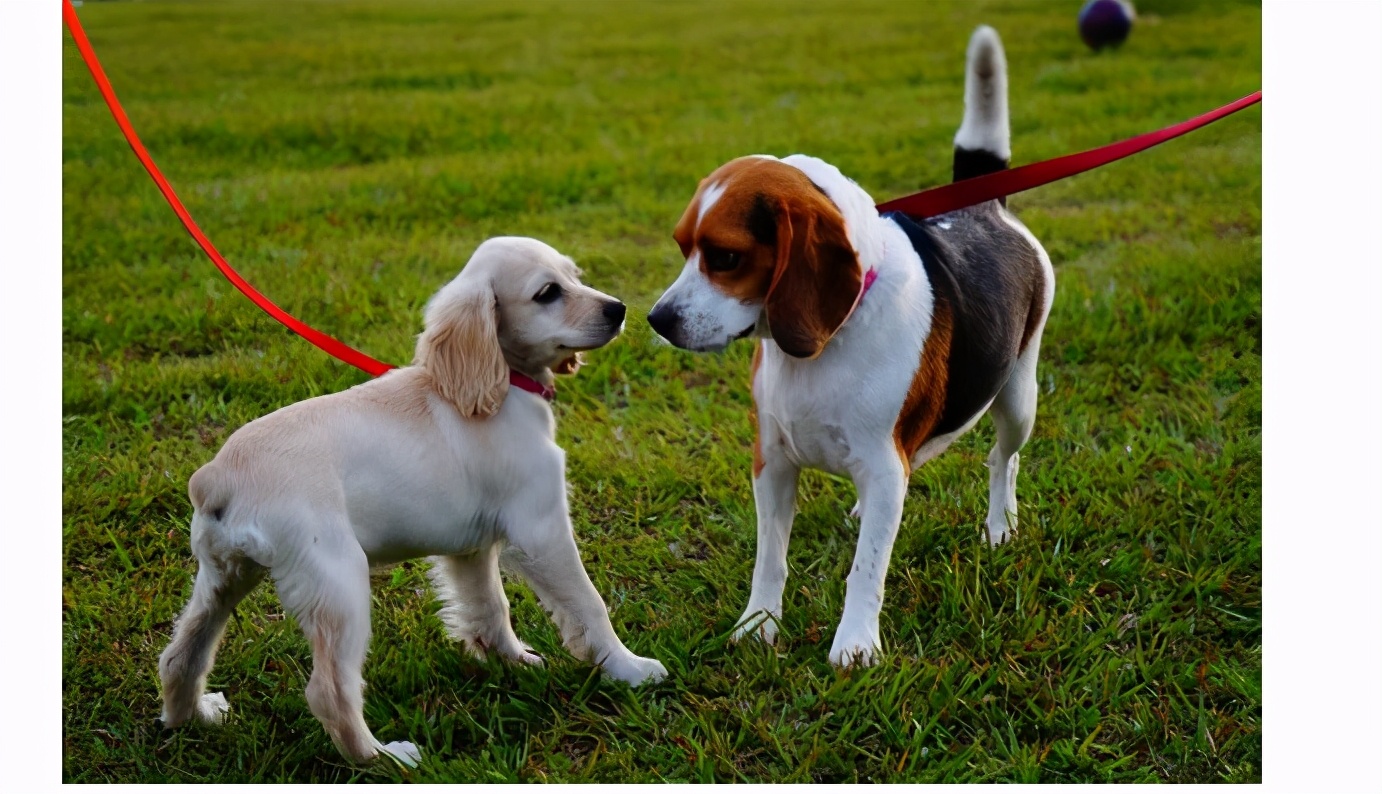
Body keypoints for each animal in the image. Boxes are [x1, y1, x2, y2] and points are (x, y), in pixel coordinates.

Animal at [156, 234, 668, 762]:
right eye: (548, 293)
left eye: (575, 275)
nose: (619, 309)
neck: (502, 385)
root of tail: (217, 476)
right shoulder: (541, 530)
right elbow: (589, 604)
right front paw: (628, 669)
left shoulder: (470, 549)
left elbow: (490, 607)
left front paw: (512, 661)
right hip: (339, 584)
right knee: (329, 691)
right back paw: (385, 757)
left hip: (223, 577)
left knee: (180, 655)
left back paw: (194, 718)